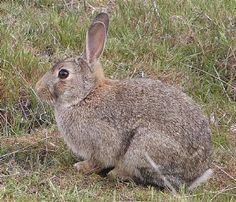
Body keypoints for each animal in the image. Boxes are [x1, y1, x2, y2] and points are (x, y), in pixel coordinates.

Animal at [35, 12, 212, 189]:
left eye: (63, 73)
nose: (38, 89)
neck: (85, 95)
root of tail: (195, 174)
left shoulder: (101, 140)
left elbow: (99, 160)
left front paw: (81, 167)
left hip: (143, 147)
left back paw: (116, 174)